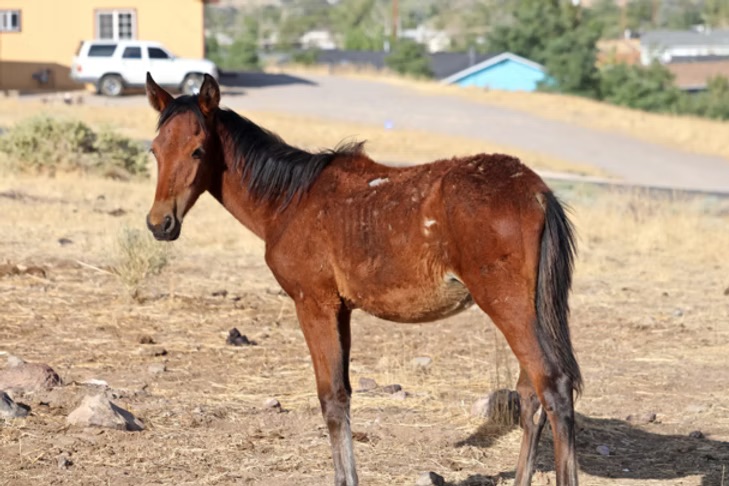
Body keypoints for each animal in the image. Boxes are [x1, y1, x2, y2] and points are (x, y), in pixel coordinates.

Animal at [144, 72, 582, 486]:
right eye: (155, 149)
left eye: (198, 150)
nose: (159, 224)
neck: (290, 201)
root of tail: (536, 191)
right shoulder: (342, 311)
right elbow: (345, 394)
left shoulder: (314, 305)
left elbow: (331, 398)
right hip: (529, 310)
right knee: (530, 396)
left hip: (508, 306)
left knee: (553, 388)